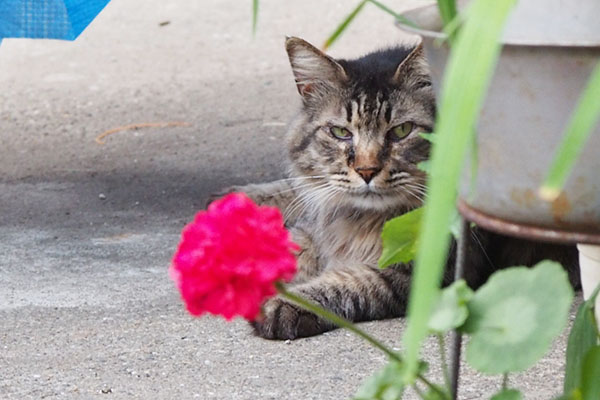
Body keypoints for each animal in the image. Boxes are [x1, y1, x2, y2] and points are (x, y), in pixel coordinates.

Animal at [209, 37, 580, 340]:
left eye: (401, 131)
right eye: (341, 133)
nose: (367, 170)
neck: (363, 220)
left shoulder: (424, 270)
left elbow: (346, 283)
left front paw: (288, 304)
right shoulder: (316, 229)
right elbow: (287, 248)